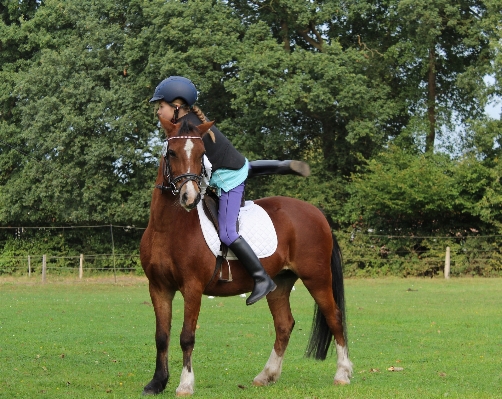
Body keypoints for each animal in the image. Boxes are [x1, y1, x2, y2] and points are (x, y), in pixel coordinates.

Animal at [139, 116, 352, 396]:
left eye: (201, 154)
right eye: (172, 153)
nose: (189, 197)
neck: (167, 228)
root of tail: (316, 213)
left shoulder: (192, 287)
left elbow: (186, 336)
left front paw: (185, 384)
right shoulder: (158, 287)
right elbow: (161, 336)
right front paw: (157, 383)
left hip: (316, 277)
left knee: (334, 317)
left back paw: (342, 374)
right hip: (280, 283)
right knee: (284, 324)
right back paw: (266, 375)